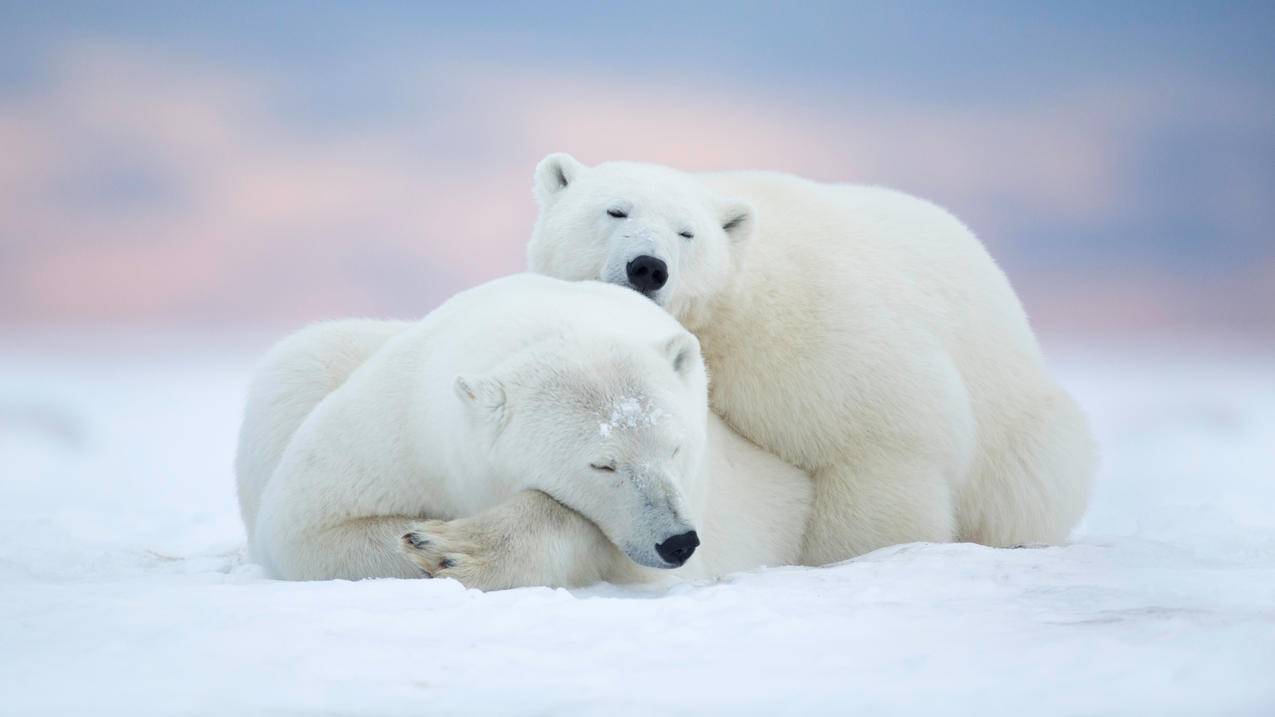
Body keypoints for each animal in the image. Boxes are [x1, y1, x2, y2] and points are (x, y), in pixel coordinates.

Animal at [235, 273, 810, 586]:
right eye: (603, 464)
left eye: (675, 448)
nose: (678, 541)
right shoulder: (400, 428)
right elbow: (308, 527)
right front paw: (426, 541)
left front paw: (454, 547)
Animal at [525, 151, 1096, 563]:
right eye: (615, 209)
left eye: (687, 233)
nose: (648, 266)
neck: (730, 310)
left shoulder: (812, 335)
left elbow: (880, 439)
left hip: (1020, 428)